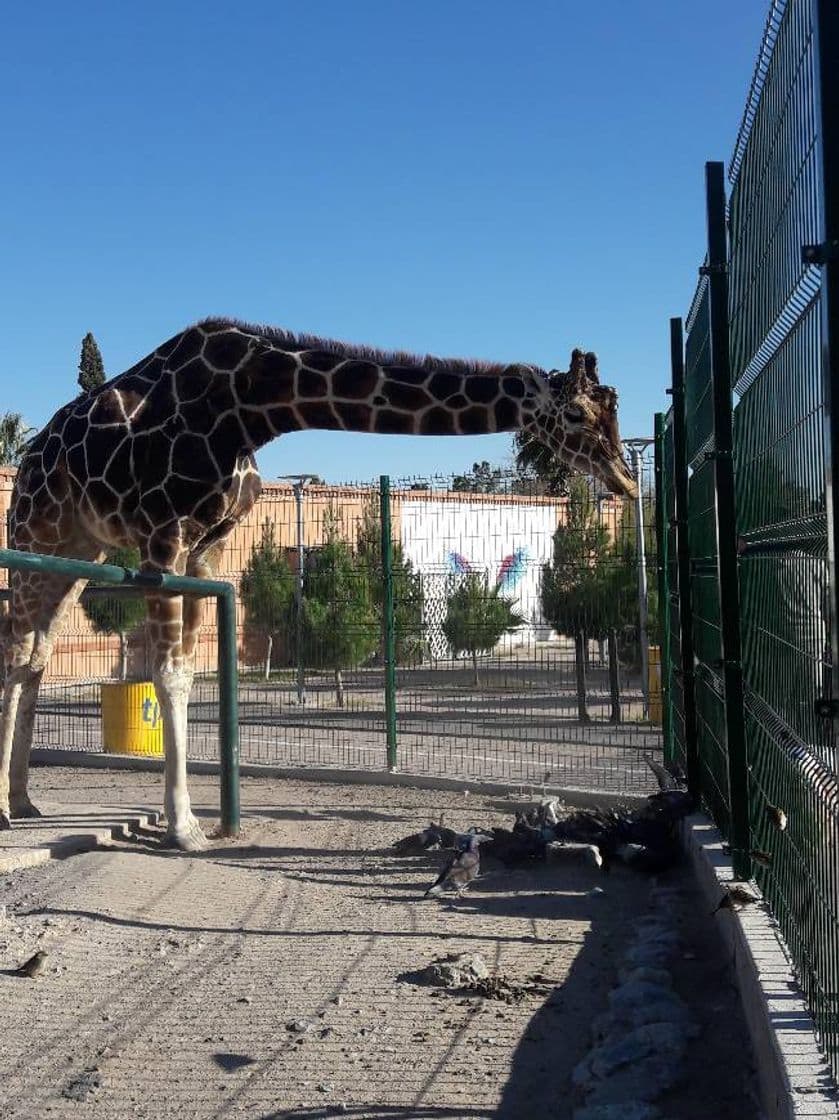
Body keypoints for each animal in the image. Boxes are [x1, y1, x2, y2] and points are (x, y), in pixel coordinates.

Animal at [0, 318, 636, 846]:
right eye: (578, 415)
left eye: (611, 409)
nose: (625, 481)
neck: (253, 405)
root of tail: (30, 458)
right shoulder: (164, 536)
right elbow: (170, 675)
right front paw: (185, 828)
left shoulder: (207, 550)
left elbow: (188, 672)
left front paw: (191, 819)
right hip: (37, 536)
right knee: (17, 649)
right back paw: (7, 810)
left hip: (79, 550)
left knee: (37, 657)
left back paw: (24, 800)